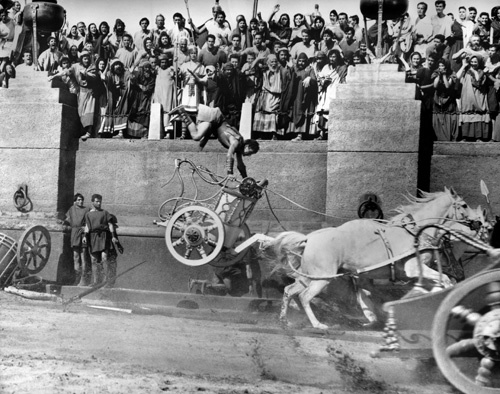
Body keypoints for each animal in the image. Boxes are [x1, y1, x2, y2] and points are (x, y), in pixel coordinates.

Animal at [266, 188, 480, 330]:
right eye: (464, 205)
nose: (477, 223)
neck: (416, 232)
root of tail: (309, 238)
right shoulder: (413, 268)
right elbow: (444, 280)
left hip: (309, 276)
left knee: (289, 290)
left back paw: (285, 320)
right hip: (323, 278)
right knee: (304, 296)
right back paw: (318, 324)